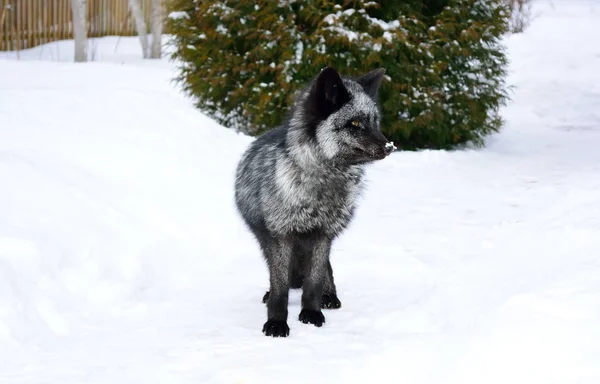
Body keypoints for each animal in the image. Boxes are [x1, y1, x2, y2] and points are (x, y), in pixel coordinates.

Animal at [233, 67, 394, 338]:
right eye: (355, 123)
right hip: (264, 237)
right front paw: (277, 322)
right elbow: (279, 285)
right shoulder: (280, 235)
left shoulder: (323, 233)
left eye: (375, 122)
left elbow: (315, 278)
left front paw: (311, 312)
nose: (390, 146)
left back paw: (330, 296)